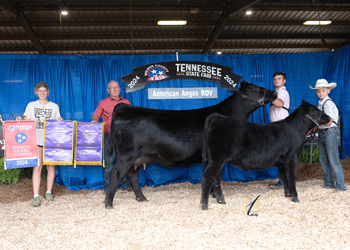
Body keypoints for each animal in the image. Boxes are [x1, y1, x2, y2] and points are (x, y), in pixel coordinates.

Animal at [104, 80, 276, 209]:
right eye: (254, 88)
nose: (274, 93)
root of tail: (123, 107)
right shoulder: (218, 156)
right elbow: (217, 178)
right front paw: (218, 199)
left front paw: (212, 195)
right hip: (126, 155)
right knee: (116, 173)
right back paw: (109, 203)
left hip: (136, 158)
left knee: (132, 175)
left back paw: (142, 198)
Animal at [200, 100, 330, 210]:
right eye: (314, 110)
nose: (329, 117)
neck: (297, 128)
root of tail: (218, 117)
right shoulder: (293, 157)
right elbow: (292, 177)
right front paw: (295, 197)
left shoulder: (282, 162)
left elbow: (284, 177)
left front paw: (287, 195)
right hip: (216, 159)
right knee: (207, 176)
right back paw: (204, 205)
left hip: (217, 161)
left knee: (216, 178)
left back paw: (221, 201)